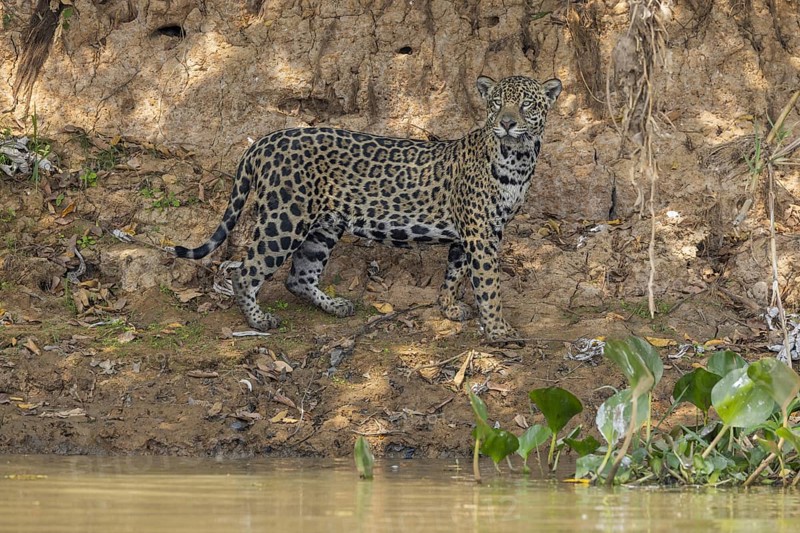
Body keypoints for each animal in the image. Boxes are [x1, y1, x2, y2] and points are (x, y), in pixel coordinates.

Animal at [172, 75, 562, 343]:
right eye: (496, 104)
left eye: (526, 105)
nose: (507, 123)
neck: (518, 158)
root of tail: (265, 141)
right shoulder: (480, 233)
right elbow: (489, 285)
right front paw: (498, 331)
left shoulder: (474, 231)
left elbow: (456, 272)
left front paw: (448, 307)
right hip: (285, 217)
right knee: (246, 271)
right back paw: (259, 320)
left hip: (324, 226)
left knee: (299, 276)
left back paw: (336, 306)